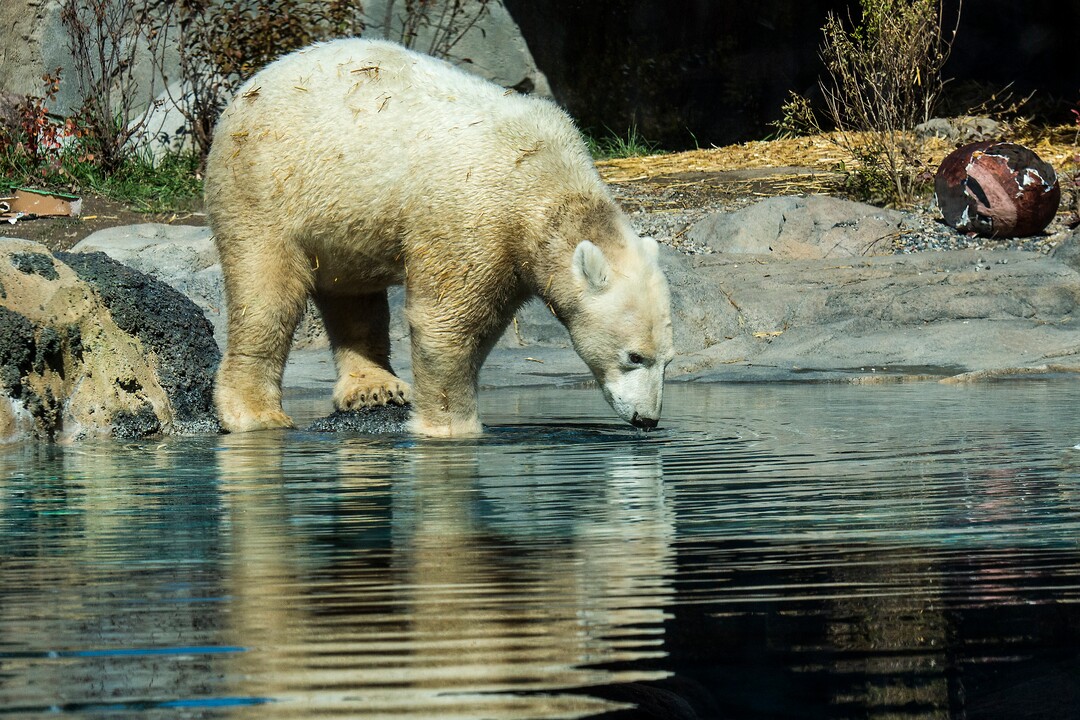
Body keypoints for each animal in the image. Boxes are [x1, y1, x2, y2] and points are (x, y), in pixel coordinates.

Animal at [205, 38, 674, 437]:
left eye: (668, 359)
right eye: (634, 356)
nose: (647, 420)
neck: (543, 179)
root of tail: (254, 83)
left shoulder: (510, 249)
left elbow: (484, 323)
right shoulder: (471, 214)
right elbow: (447, 320)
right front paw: (452, 427)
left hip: (344, 209)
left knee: (352, 293)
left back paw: (373, 387)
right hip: (266, 181)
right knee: (267, 292)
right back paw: (254, 414)